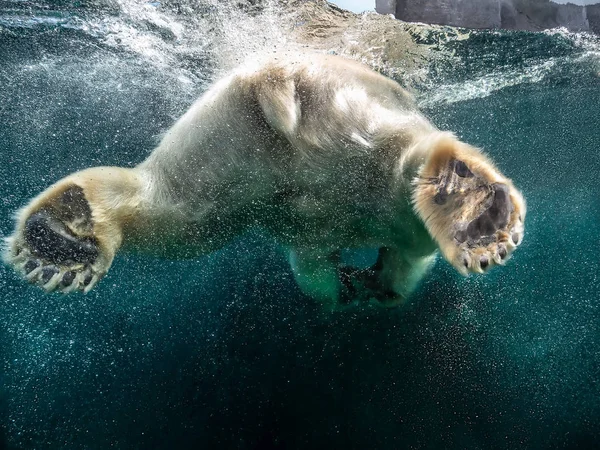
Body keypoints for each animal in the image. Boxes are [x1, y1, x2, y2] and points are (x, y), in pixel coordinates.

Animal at [1, 53, 524, 310]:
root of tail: (285, 73)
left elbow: (314, 269)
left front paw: (352, 286)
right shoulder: (392, 235)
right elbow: (406, 260)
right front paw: (366, 289)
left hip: (226, 134)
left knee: (176, 211)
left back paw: (60, 236)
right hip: (355, 124)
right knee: (407, 161)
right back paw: (480, 216)